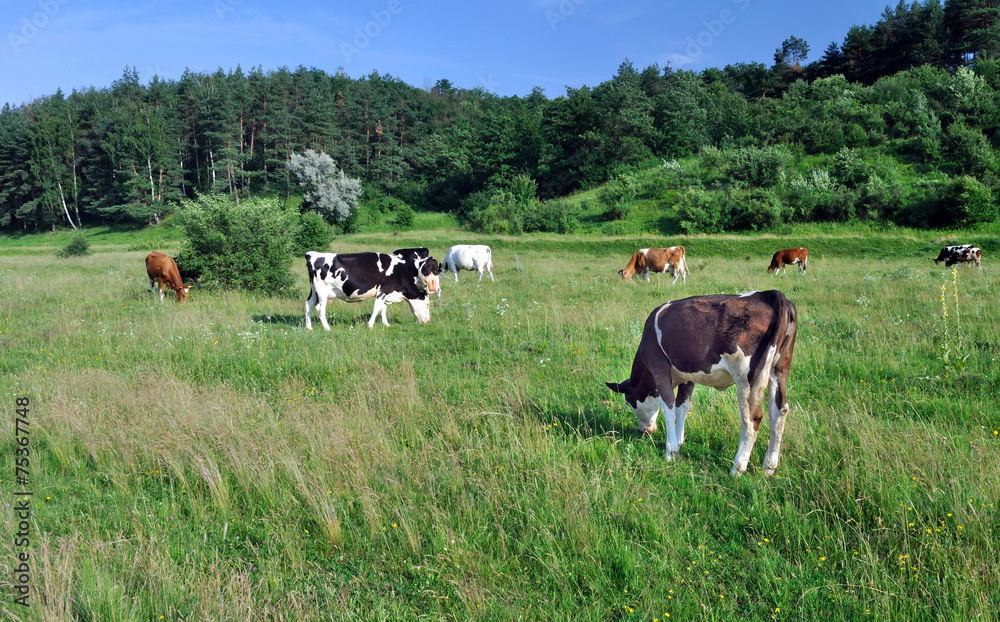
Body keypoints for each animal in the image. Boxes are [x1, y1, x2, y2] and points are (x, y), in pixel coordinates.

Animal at [304, 251, 440, 330]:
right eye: (427, 305)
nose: (428, 321)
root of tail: (312, 254)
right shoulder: (383, 289)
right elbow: (377, 308)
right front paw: (370, 325)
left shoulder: (386, 293)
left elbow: (383, 308)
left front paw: (386, 324)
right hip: (321, 290)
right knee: (320, 308)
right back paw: (327, 328)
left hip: (313, 290)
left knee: (309, 304)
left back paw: (309, 327)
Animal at [606, 290, 797, 476]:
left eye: (629, 403)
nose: (644, 431)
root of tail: (771, 294)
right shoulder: (687, 376)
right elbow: (682, 407)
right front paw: (679, 441)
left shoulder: (659, 370)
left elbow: (669, 409)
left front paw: (670, 452)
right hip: (779, 369)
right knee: (779, 412)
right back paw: (769, 468)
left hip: (746, 379)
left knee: (751, 420)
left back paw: (737, 469)